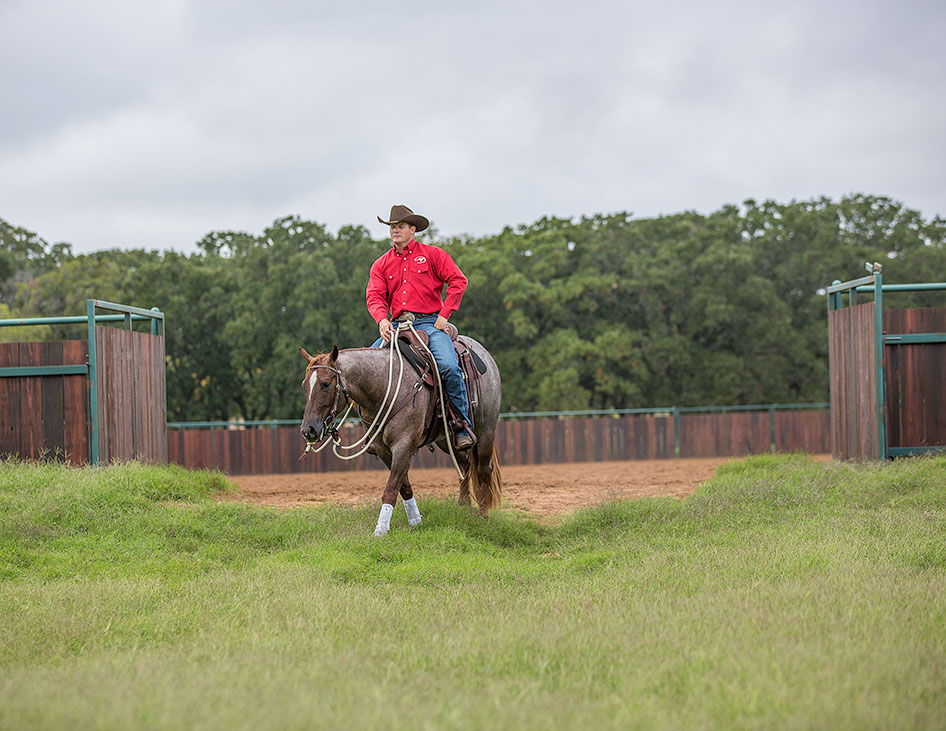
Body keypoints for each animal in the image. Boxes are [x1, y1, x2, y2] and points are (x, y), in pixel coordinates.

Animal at [298, 328, 506, 536]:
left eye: (325, 384)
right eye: (304, 385)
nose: (308, 430)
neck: (385, 388)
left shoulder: (404, 444)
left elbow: (391, 488)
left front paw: (380, 530)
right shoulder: (383, 449)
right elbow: (404, 487)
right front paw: (415, 521)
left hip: (486, 430)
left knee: (483, 469)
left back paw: (483, 515)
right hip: (447, 440)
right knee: (464, 464)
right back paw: (464, 505)